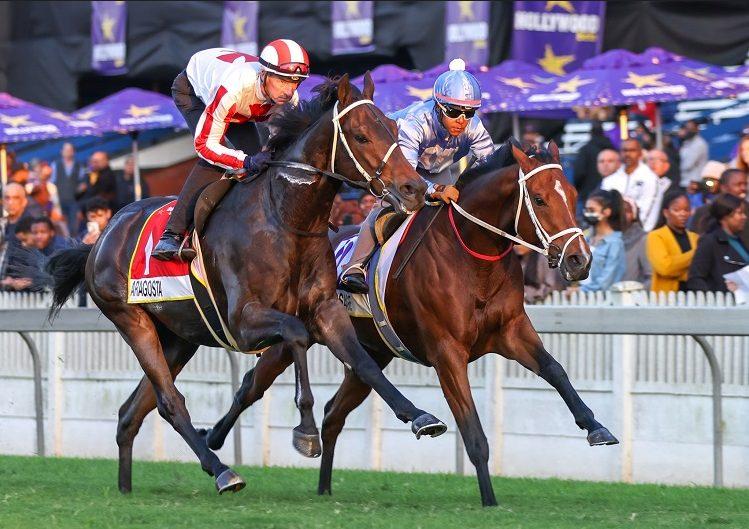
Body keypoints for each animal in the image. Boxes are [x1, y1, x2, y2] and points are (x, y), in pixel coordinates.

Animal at [46, 74, 448, 495]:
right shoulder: (243, 321)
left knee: (133, 410)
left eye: (393, 129)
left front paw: (419, 415)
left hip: (179, 337)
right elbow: (296, 333)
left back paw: (127, 486)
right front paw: (306, 432)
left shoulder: (325, 309)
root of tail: (103, 236)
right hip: (132, 321)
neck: (285, 218)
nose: (414, 189)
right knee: (170, 401)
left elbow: (364, 363)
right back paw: (222, 470)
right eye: (361, 136)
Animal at [199, 140, 619, 506]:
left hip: (370, 352)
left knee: (334, 412)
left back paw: (324, 488)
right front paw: (489, 500)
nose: (580, 260)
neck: (471, 257)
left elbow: (555, 370)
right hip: (290, 335)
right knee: (251, 387)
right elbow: (473, 431)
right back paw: (213, 441)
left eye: (573, 195)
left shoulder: (512, 331)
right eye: (540, 198)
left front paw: (596, 427)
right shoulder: (447, 352)